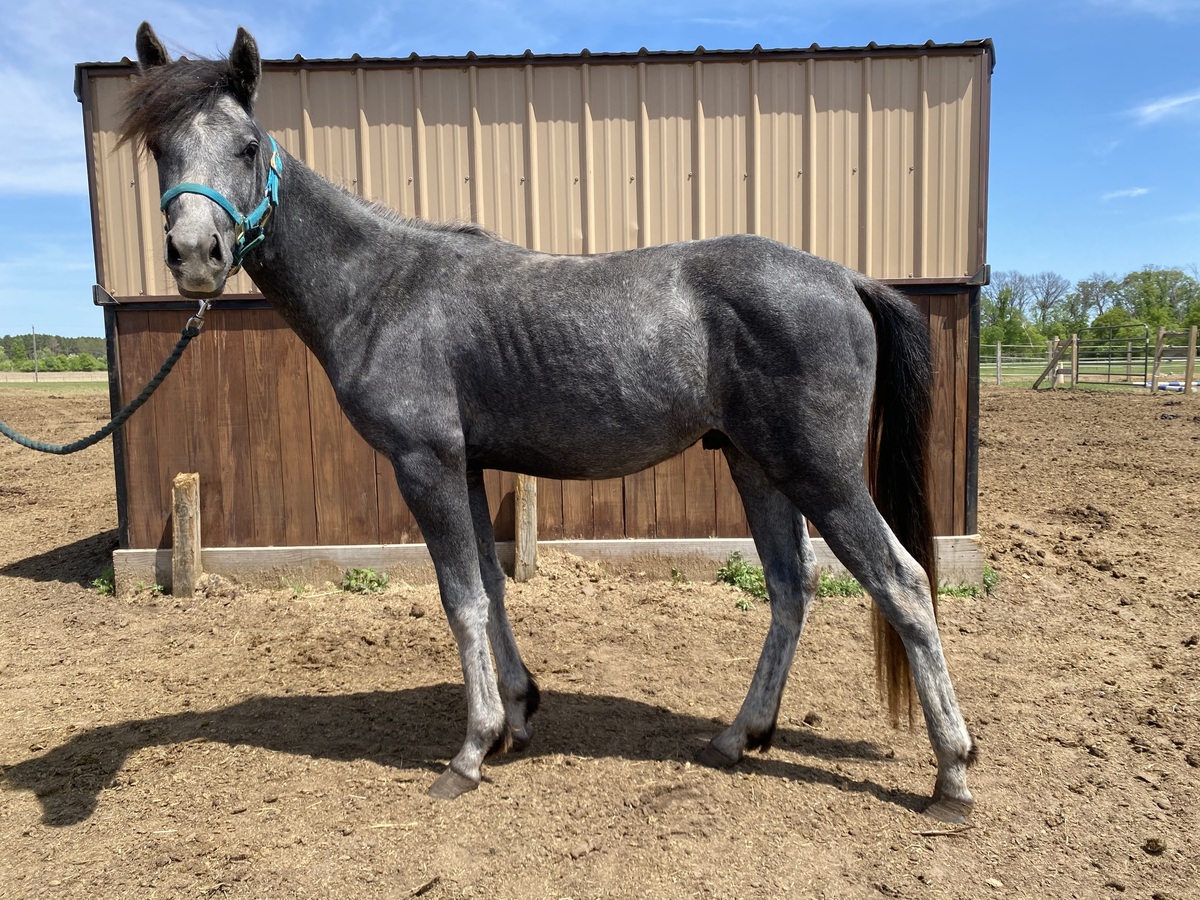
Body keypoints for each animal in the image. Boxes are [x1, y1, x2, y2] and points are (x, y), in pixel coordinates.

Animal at [120, 22, 976, 822]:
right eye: (161, 146)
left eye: (246, 144)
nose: (195, 254)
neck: (383, 287)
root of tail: (845, 277)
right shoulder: (465, 466)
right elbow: (493, 587)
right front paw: (518, 717)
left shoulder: (425, 463)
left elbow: (460, 596)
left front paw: (470, 752)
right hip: (756, 464)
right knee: (791, 587)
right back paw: (739, 737)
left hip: (819, 472)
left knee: (901, 583)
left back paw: (952, 777)